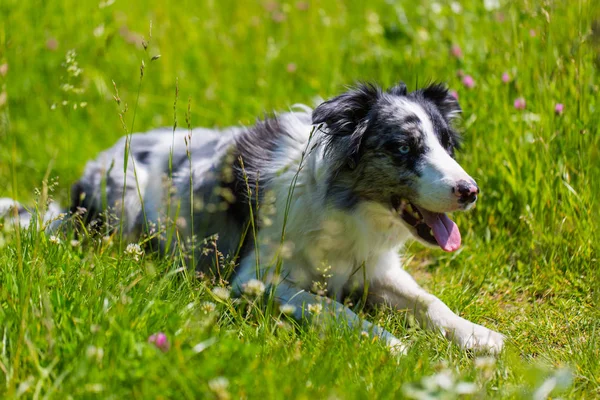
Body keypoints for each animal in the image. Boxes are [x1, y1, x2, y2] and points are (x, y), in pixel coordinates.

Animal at [1, 81, 506, 354]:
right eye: (403, 148)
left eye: (446, 144)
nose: (470, 192)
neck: (343, 206)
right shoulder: (254, 280)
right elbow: (333, 306)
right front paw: (391, 343)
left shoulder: (374, 268)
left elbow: (429, 301)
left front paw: (477, 335)